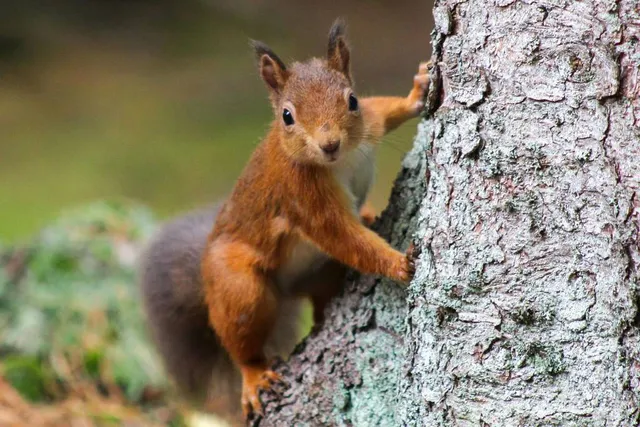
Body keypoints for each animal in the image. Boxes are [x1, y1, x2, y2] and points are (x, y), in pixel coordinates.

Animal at [138, 18, 429, 424]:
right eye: (287, 116)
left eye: (352, 100)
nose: (329, 144)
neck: (339, 161)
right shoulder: (303, 198)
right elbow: (344, 237)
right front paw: (399, 263)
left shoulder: (368, 125)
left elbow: (382, 110)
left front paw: (417, 92)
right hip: (239, 288)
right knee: (241, 340)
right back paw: (254, 376)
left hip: (321, 274)